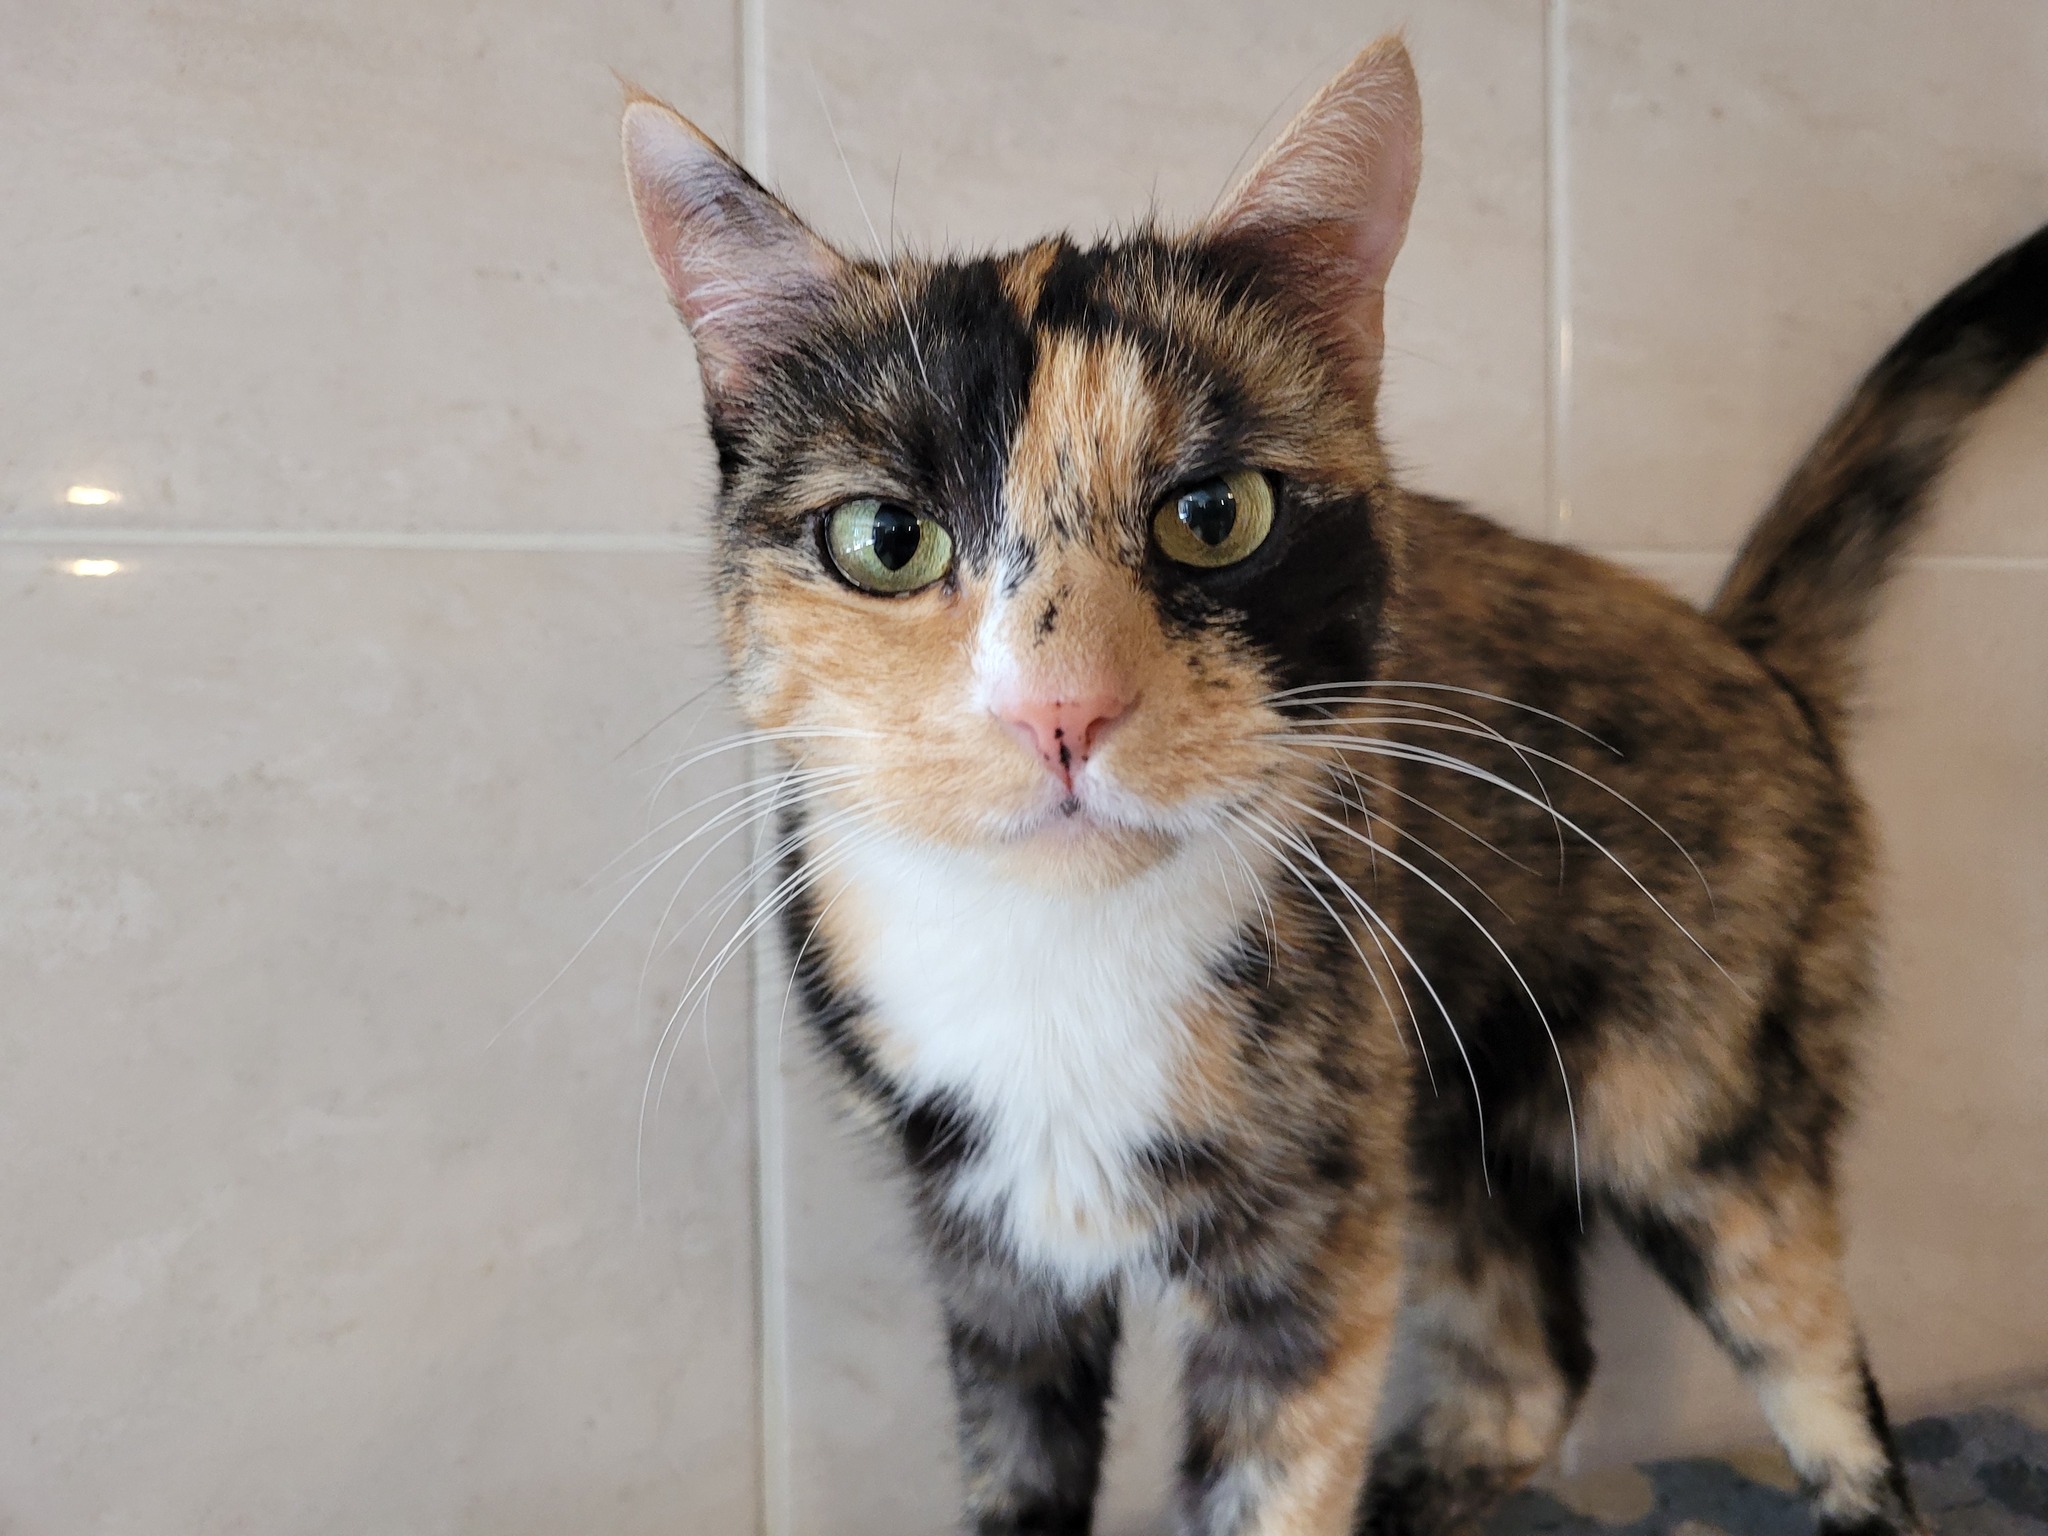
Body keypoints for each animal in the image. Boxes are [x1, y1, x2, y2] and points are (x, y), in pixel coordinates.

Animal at [620, 35, 2047, 1536]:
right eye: (885, 540)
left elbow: (1275, 1476)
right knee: (1534, 1355)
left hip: (1683, 1088)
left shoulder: (1312, 1242)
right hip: (1440, 1097)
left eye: (1215, 515)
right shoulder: (993, 1247)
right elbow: (1019, 1463)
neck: (1055, 956)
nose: (1060, 710)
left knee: (1801, 1330)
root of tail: (1746, 651)